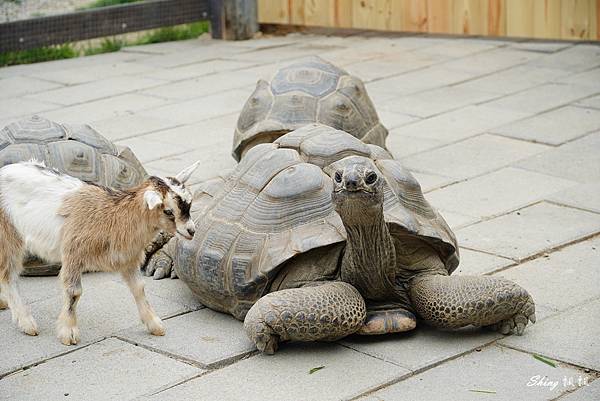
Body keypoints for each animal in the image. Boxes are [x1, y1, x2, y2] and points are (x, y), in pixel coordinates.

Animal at [0, 159, 200, 344]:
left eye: (190, 204)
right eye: (168, 211)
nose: (191, 231)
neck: (116, 215)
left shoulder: (128, 258)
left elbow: (139, 288)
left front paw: (154, 324)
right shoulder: (73, 253)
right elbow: (73, 292)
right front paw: (69, 333)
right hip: (9, 234)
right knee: (8, 275)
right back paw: (27, 323)